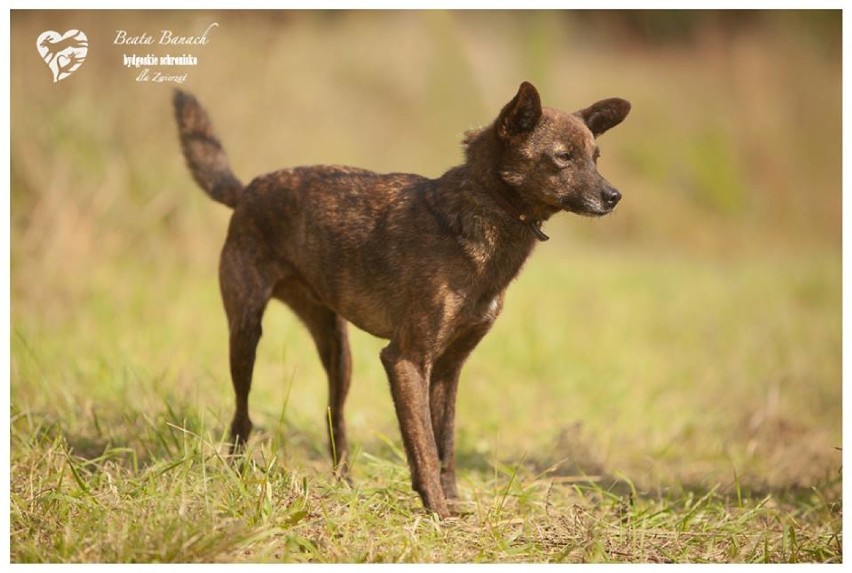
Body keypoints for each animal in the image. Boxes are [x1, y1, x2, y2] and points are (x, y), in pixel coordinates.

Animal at [173, 82, 628, 516]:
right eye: (563, 157)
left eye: (596, 157)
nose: (614, 197)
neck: (481, 213)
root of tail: (247, 189)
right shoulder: (405, 359)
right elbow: (423, 445)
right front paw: (438, 512)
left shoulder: (448, 368)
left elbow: (445, 444)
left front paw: (454, 503)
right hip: (246, 333)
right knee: (242, 414)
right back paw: (235, 472)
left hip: (338, 352)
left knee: (334, 416)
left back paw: (345, 485)